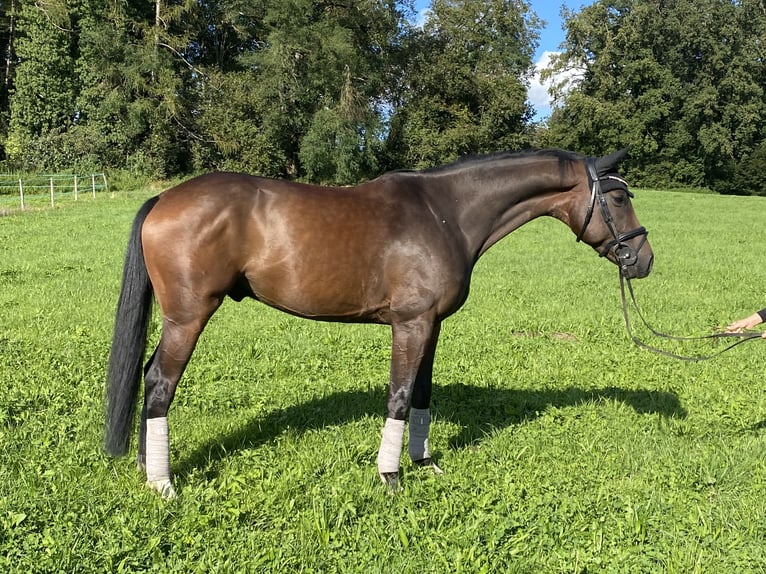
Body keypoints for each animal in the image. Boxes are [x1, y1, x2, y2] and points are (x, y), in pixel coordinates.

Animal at [103, 146, 656, 498]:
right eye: (620, 198)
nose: (644, 260)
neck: (444, 213)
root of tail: (164, 199)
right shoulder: (409, 325)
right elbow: (399, 394)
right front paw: (389, 476)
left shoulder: (431, 324)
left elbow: (423, 393)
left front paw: (425, 462)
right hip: (189, 317)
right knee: (159, 382)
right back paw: (163, 483)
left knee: (148, 377)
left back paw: (147, 465)